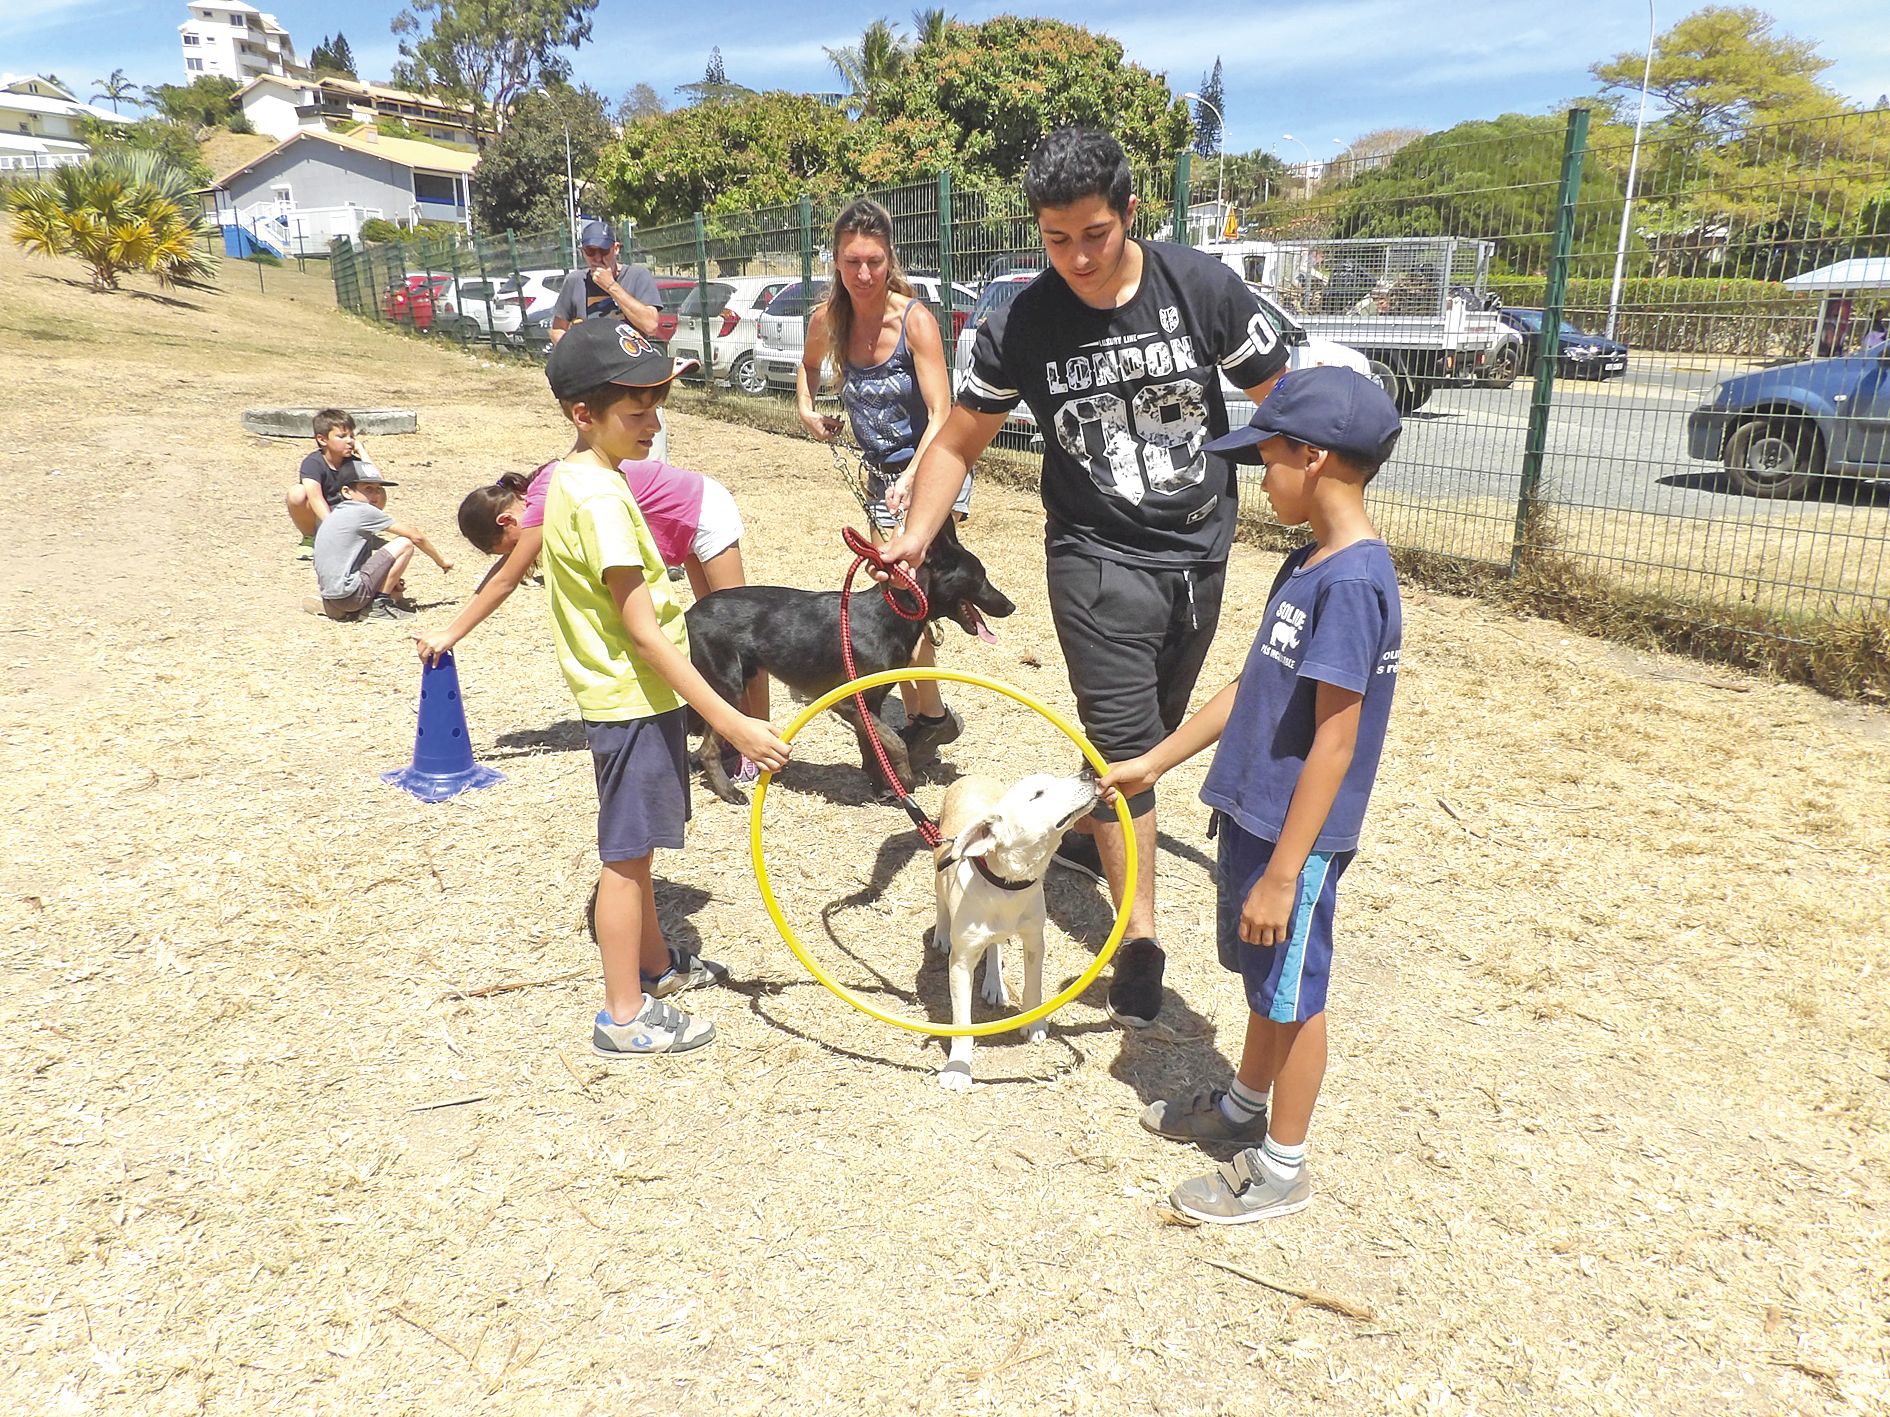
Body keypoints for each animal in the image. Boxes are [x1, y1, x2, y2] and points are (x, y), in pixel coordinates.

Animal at [691, 525, 1020, 808]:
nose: (1010, 606)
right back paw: (728, 791)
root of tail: (690, 613)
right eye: (979, 577)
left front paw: (882, 787)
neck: (892, 617)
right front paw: (903, 780)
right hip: (728, 688)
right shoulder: (847, 703)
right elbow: (895, 743)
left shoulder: (870, 704)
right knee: (708, 750)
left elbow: (873, 746)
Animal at [933, 770, 1103, 1095]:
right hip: (938, 865)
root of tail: (973, 776)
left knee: (996, 944)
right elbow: (962, 1020)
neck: (1007, 885)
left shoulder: (1035, 939)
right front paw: (958, 1068)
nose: (1089, 773)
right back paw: (942, 933)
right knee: (941, 901)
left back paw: (994, 983)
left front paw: (1034, 1024)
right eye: (1038, 794)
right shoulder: (961, 963)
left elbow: (1033, 986)